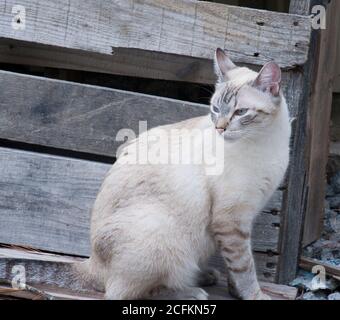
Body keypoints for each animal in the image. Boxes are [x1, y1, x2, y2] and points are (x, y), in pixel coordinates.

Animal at [76, 48, 290, 300]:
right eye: (215, 109)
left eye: (241, 112)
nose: (220, 128)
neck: (265, 140)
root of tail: (91, 265)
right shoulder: (231, 218)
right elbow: (244, 266)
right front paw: (254, 296)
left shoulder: (247, 214)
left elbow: (235, 267)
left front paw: (234, 292)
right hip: (160, 233)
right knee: (127, 292)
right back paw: (192, 291)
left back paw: (205, 276)